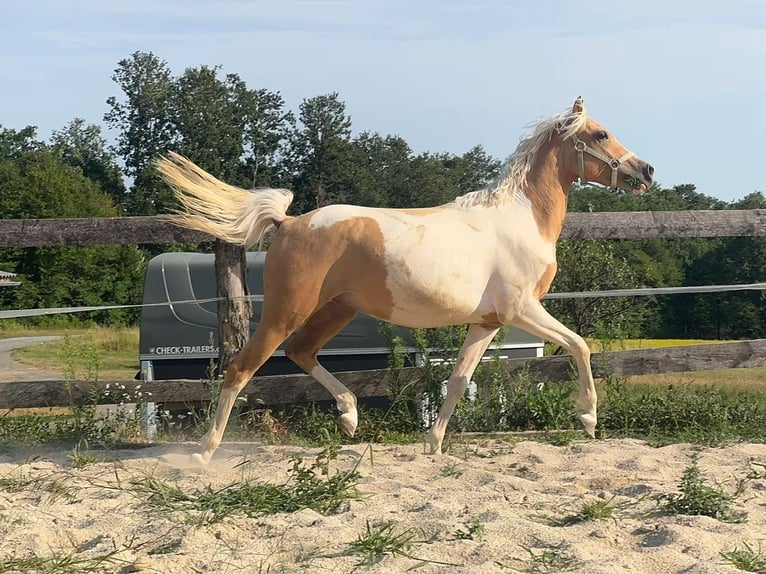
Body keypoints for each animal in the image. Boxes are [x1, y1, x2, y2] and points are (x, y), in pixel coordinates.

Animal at [157, 97, 654, 464]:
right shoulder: (521, 309)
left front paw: (432, 445)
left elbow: (457, 381)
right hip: (287, 311)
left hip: (336, 310)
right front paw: (588, 418)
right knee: (241, 368)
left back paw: (349, 417)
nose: (646, 172)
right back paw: (204, 453)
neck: (520, 220)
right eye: (601, 134)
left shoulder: (487, 322)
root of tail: (290, 221)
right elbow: (580, 346)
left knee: (301, 353)